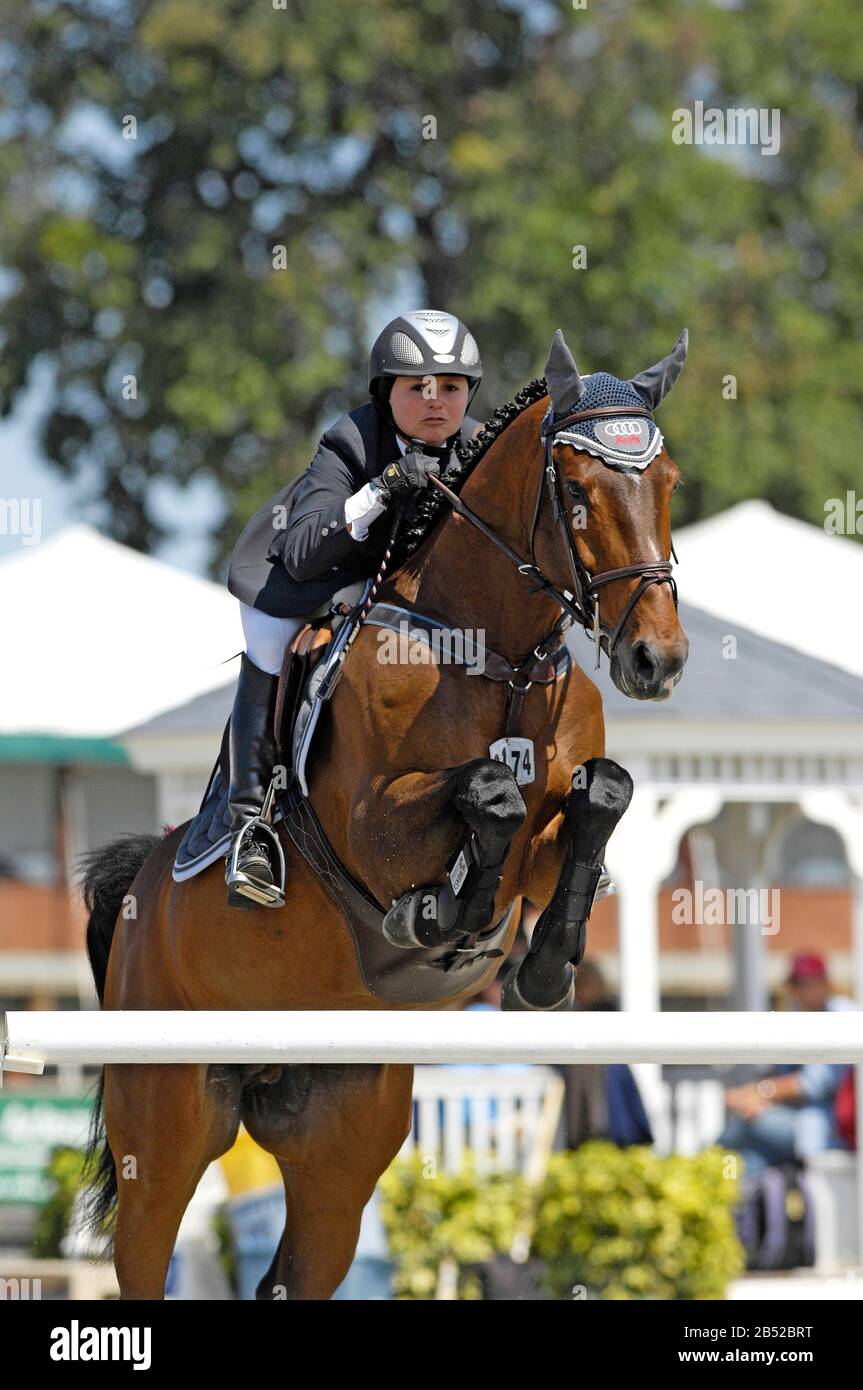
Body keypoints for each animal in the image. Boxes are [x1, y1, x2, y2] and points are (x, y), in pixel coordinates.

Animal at [79, 325, 686, 1289]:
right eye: (578, 494)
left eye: (667, 483)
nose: (655, 661)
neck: (495, 657)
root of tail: (139, 884)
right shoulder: (372, 827)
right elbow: (485, 794)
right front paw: (439, 914)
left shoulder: (552, 834)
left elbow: (599, 792)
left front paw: (542, 968)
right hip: (168, 1120)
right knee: (146, 1248)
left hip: (340, 1140)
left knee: (299, 1268)